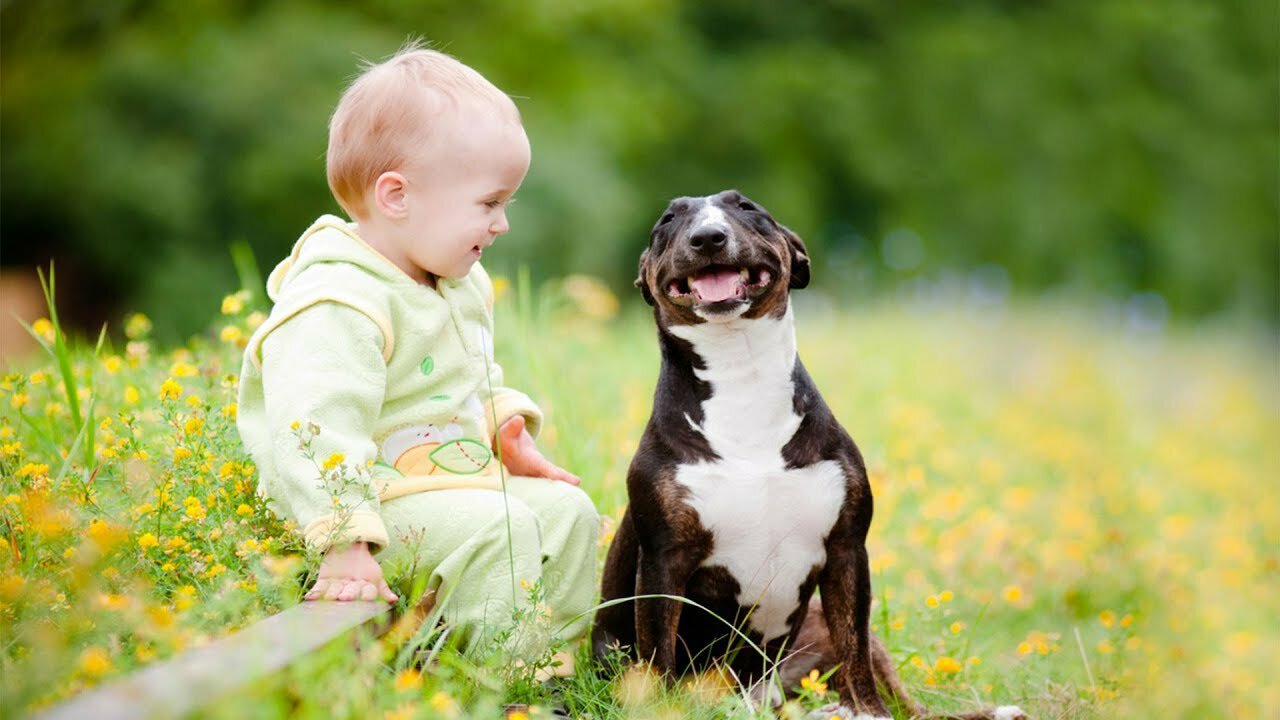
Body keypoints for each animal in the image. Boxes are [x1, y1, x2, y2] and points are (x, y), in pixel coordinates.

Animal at [591, 189, 1029, 717]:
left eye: (747, 208)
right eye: (668, 220)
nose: (708, 237)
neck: (741, 376)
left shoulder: (846, 551)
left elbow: (855, 652)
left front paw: (868, 712)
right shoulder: (663, 561)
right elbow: (658, 656)